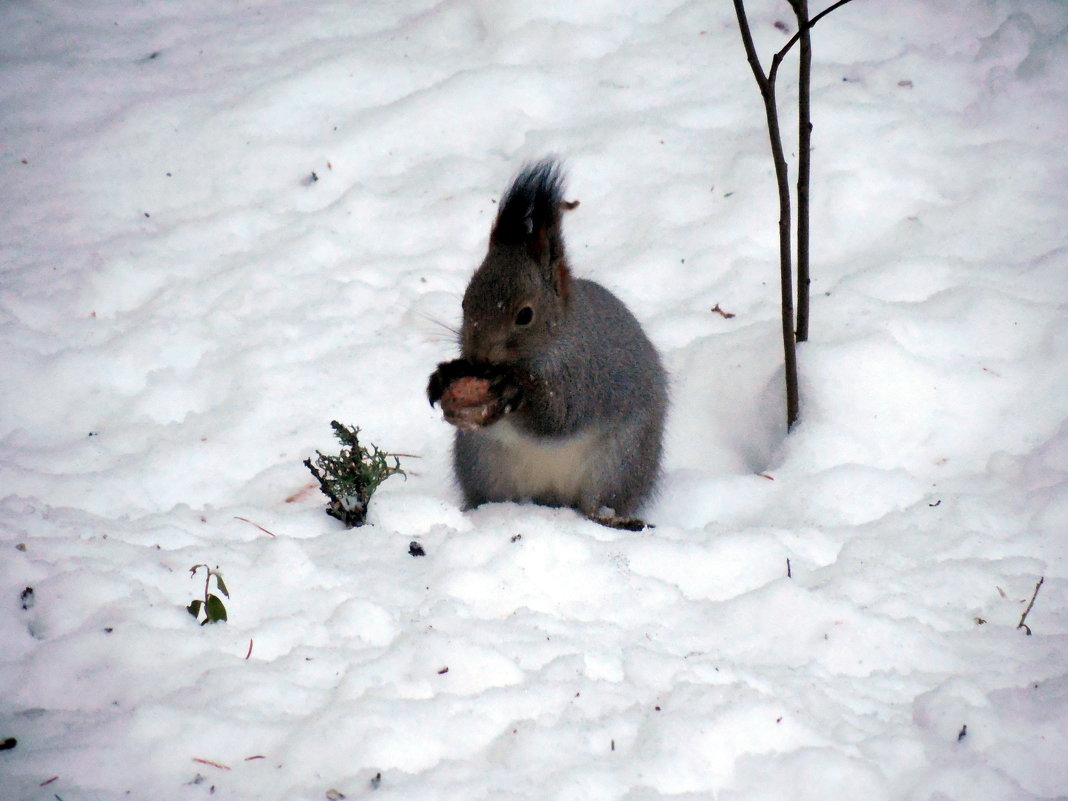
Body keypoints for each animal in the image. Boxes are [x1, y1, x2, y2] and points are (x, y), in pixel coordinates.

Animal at [427, 159, 666, 529]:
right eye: (465, 303)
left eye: (526, 315)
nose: (478, 359)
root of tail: (551, 500)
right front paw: (444, 376)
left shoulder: (583, 378)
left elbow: (556, 418)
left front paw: (513, 387)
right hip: (482, 462)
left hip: (620, 461)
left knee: (596, 503)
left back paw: (613, 519)